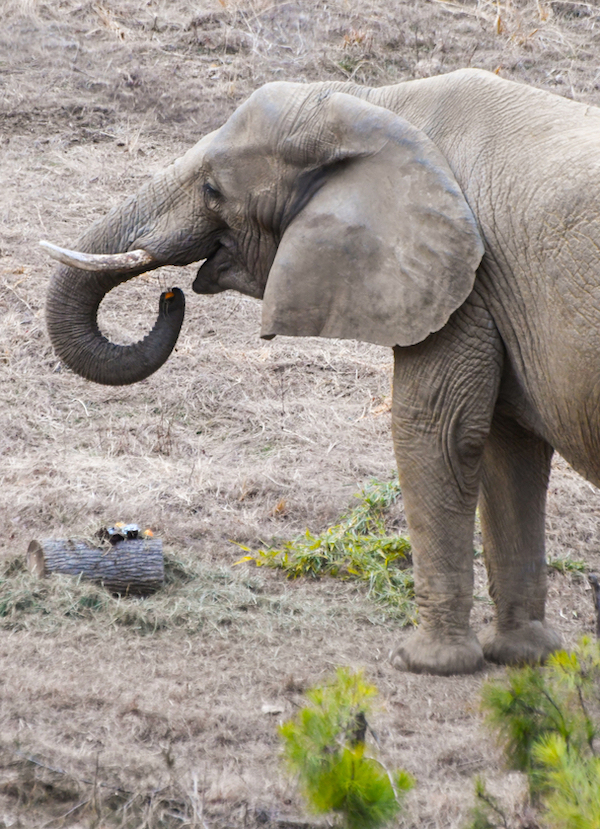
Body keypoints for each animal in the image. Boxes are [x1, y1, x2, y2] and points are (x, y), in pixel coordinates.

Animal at [43, 67, 600, 675]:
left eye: (214, 191)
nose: (171, 296)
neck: (379, 106)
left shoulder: (461, 278)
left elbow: (439, 433)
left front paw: (424, 663)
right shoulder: (488, 291)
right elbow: (508, 449)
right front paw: (524, 658)